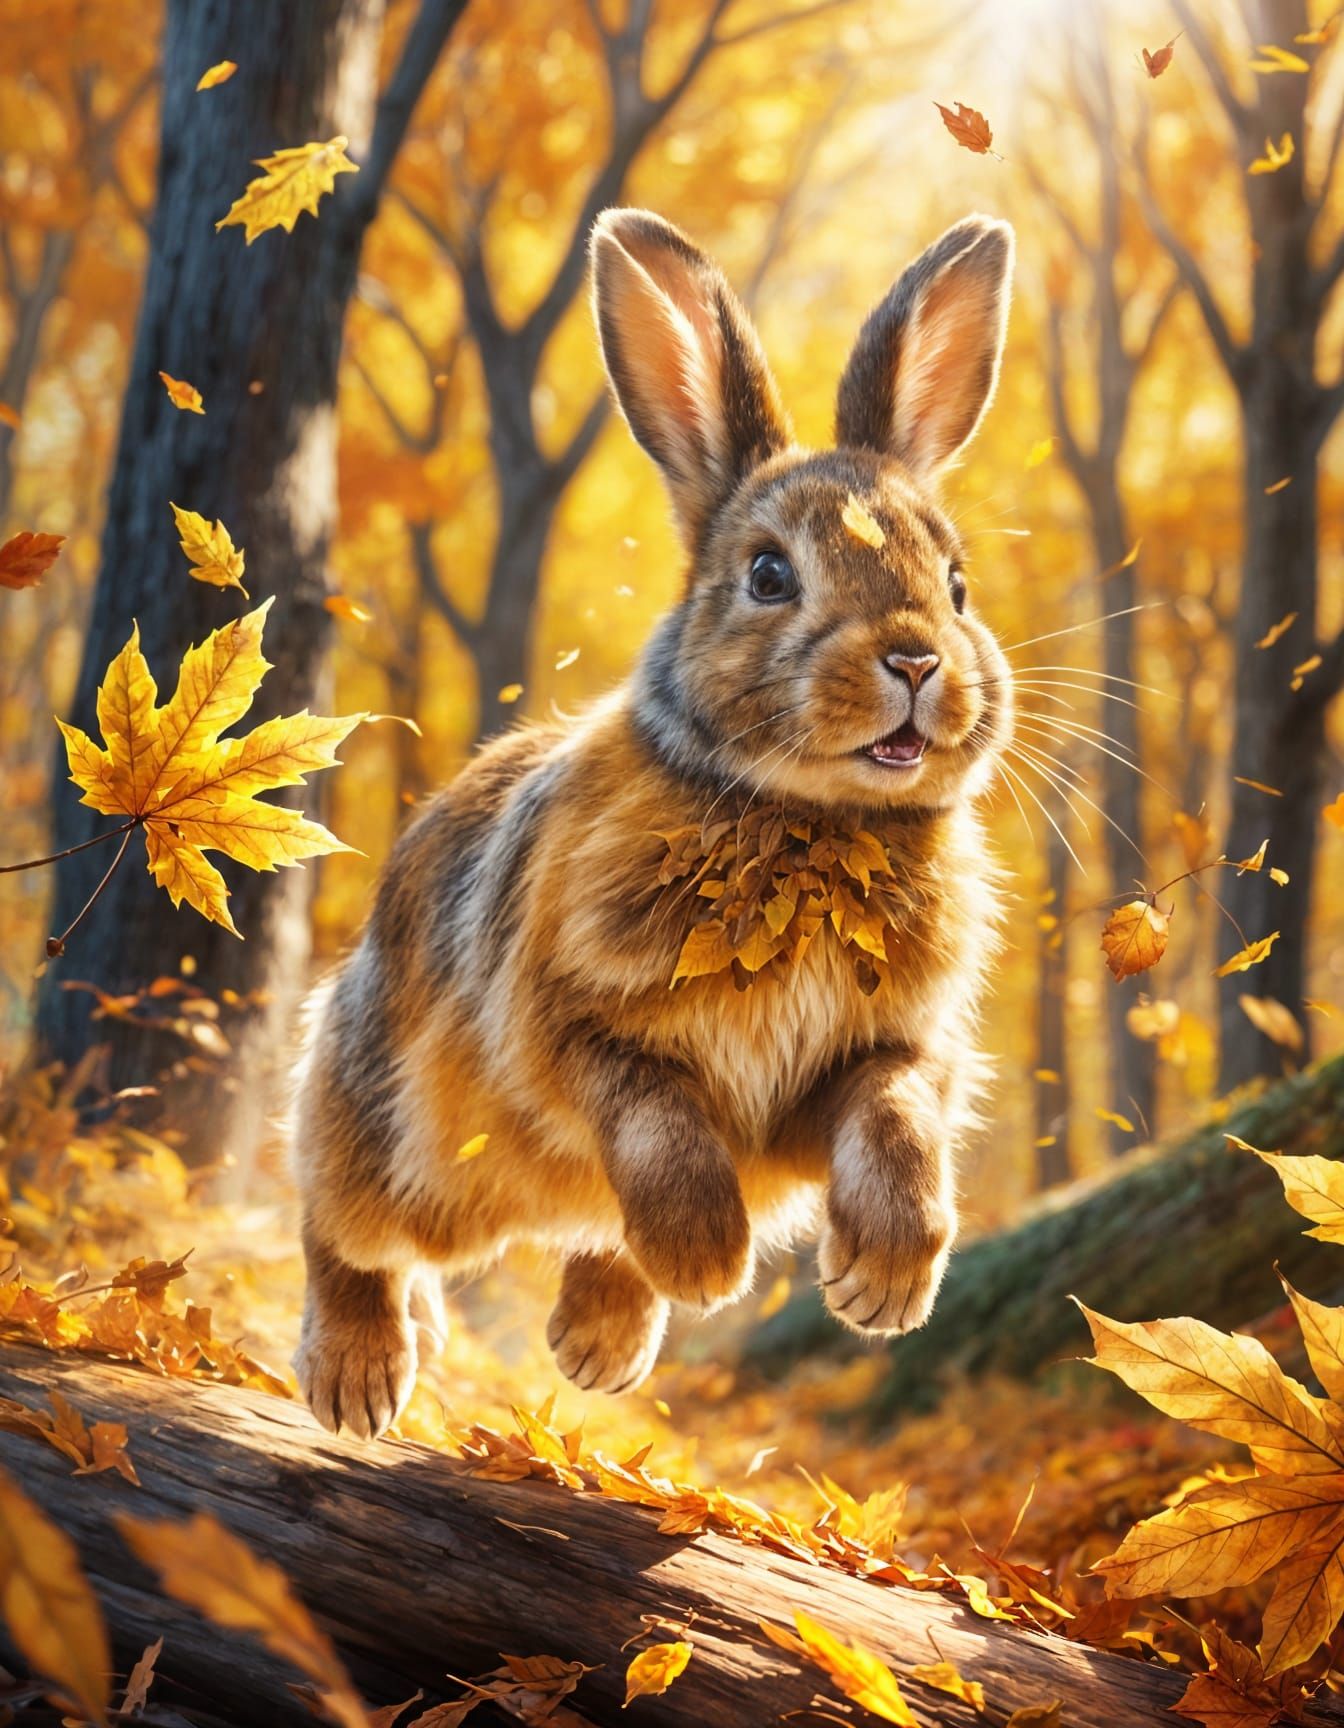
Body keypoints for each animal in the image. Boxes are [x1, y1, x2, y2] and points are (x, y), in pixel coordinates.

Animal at [292, 206, 1016, 1439]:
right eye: (769, 574)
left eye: (958, 584)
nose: (918, 660)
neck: (804, 815)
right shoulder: (571, 1024)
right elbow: (656, 1114)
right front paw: (706, 1261)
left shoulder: (884, 1051)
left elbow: (898, 1121)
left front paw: (881, 1286)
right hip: (385, 1120)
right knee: (342, 1225)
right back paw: (360, 1381)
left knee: (582, 1239)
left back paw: (597, 1350)